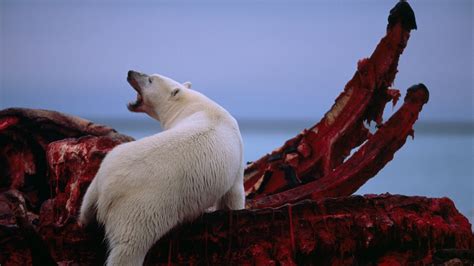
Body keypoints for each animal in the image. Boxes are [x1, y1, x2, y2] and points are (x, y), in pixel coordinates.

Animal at [78, 70, 244, 266]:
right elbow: (234, 194)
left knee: (86, 207)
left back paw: (83, 221)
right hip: (142, 209)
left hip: (103, 173)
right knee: (129, 248)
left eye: (149, 79)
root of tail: (108, 187)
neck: (194, 106)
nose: (130, 72)